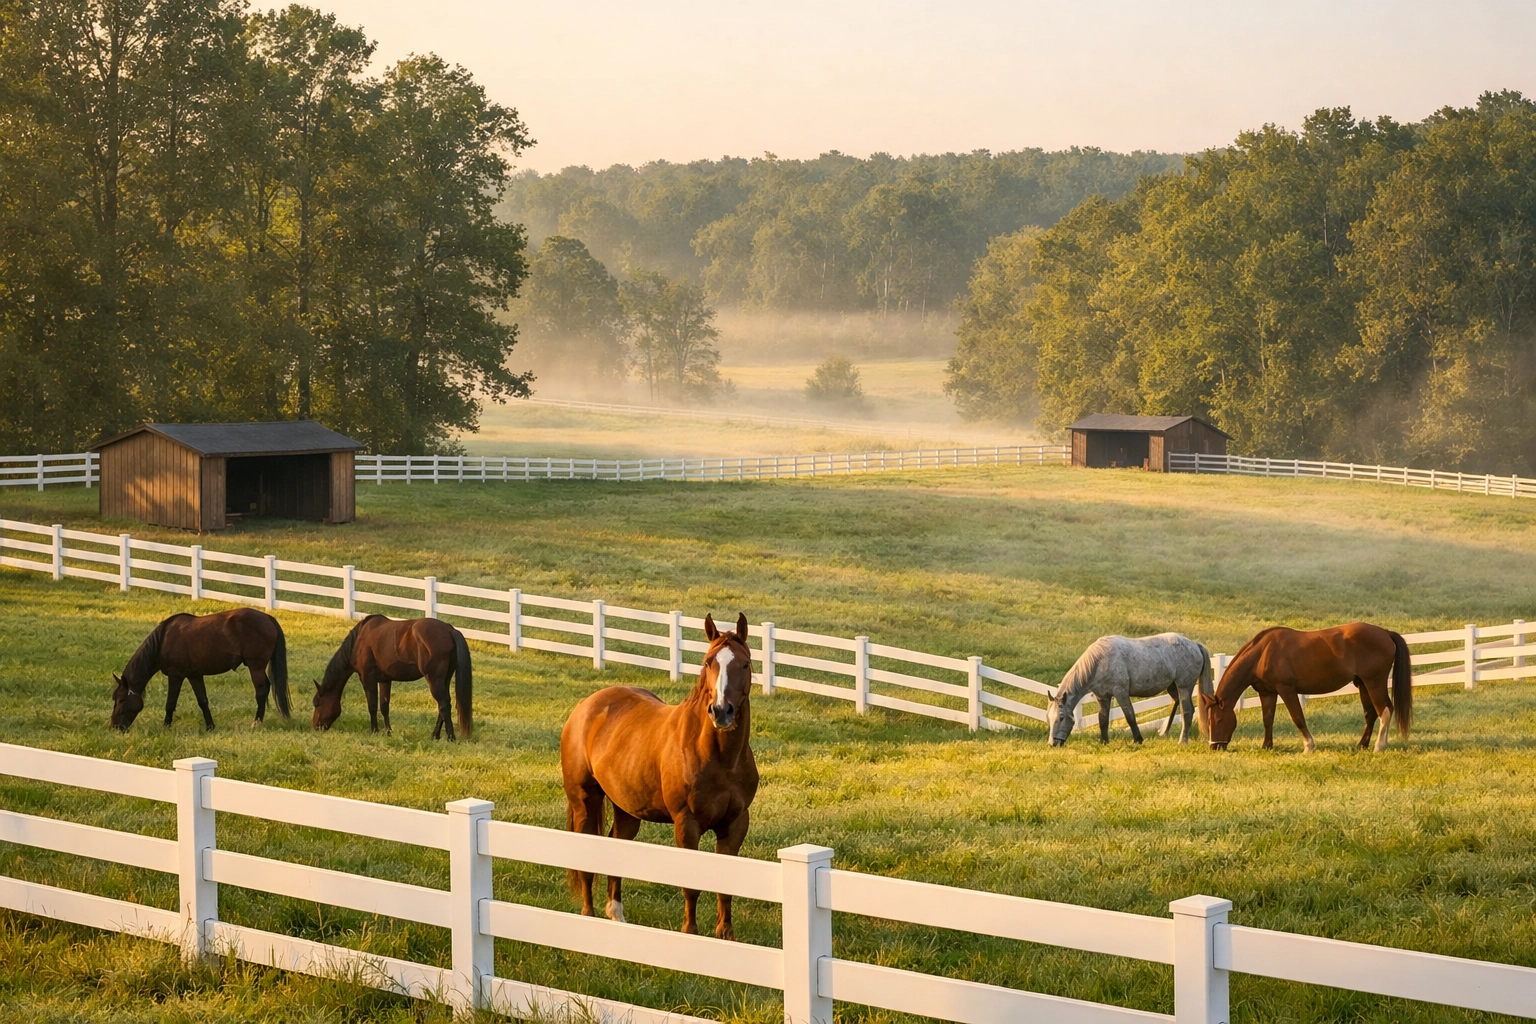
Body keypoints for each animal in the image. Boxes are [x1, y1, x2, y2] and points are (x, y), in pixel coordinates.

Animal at [111, 608, 290, 731]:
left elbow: (170, 703)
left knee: (261, 690)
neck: (163, 640)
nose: (114, 726)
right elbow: (203, 701)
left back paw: (256, 722)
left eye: (121, 700)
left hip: (255, 666)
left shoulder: (175, 675)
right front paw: (210, 726)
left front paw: (166, 726)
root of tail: (268, 618)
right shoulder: (194, 675)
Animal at [313, 615, 472, 740]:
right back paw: (435, 735)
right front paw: (388, 732)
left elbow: (372, 706)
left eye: (317, 703)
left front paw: (374, 730)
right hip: (444, 680)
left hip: (434, 680)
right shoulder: (385, 680)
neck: (359, 640)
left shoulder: (367, 678)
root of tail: (450, 630)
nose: (315, 727)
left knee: (444, 705)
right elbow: (384, 706)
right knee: (443, 705)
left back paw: (450, 737)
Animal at [560, 613, 758, 940]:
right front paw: (689, 932)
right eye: (708, 662)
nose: (721, 711)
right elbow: (691, 886)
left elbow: (725, 886)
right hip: (585, 800)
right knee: (587, 856)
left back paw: (617, 916)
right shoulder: (687, 823)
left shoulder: (736, 823)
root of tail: (586, 706)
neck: (720, 757)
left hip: (626, 808)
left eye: (745, 664)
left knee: (615, 844)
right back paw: (589, 917)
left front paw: (726, 936)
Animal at [1046, 633, 1213, 746]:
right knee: (1175, 703)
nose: (1052, 744)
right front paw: (1104, 741)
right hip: (1172, 686)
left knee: (1187, 711)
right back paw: (1163, 732)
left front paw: (1138, 739)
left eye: (1061, 717)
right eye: (1049, 718)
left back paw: (1182, 740)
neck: (1099, 661)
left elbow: (1130, 716)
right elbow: (1103, 720)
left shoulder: (1121, 693)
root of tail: (1195, 645)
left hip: (1184, 686)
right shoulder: (1102, 697)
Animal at [1199, 622, 1412, 752]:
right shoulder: (1267, 692)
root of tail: (1386, 633)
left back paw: (1379, 746)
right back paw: (1362, 745)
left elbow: (1297, 717)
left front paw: (1309, 746)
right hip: (1363, 684)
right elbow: (1267, 719)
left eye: (1218, 719)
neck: (1262, 653)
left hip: (1374, 682)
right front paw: (1267, 746)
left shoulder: (1286, 690)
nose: (1214, 746)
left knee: (1385, 709)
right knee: (1371, 713)